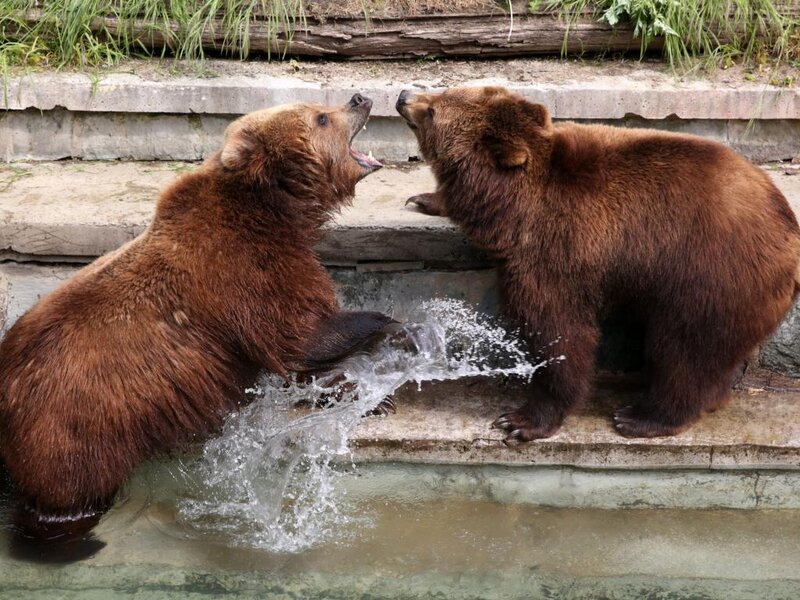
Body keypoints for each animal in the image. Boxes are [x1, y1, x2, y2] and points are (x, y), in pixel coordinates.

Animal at [0, 93, 390, 539]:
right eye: (321, 116)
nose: (360, 98)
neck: (276, 209)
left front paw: (367, 391)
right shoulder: (242, 269)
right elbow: (297, 337)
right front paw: (390, 337)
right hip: (71, 432)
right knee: (68, 496)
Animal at [396, 86, 800, 442]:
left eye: (433, 110)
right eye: (446, 90)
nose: (404, 96)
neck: (513, 204)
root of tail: (789, 234)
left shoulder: (557, 252)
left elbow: (560, 332)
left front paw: (521, 419)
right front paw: (424, 198)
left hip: (713, 277)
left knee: (686, 351)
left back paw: (642, 417)